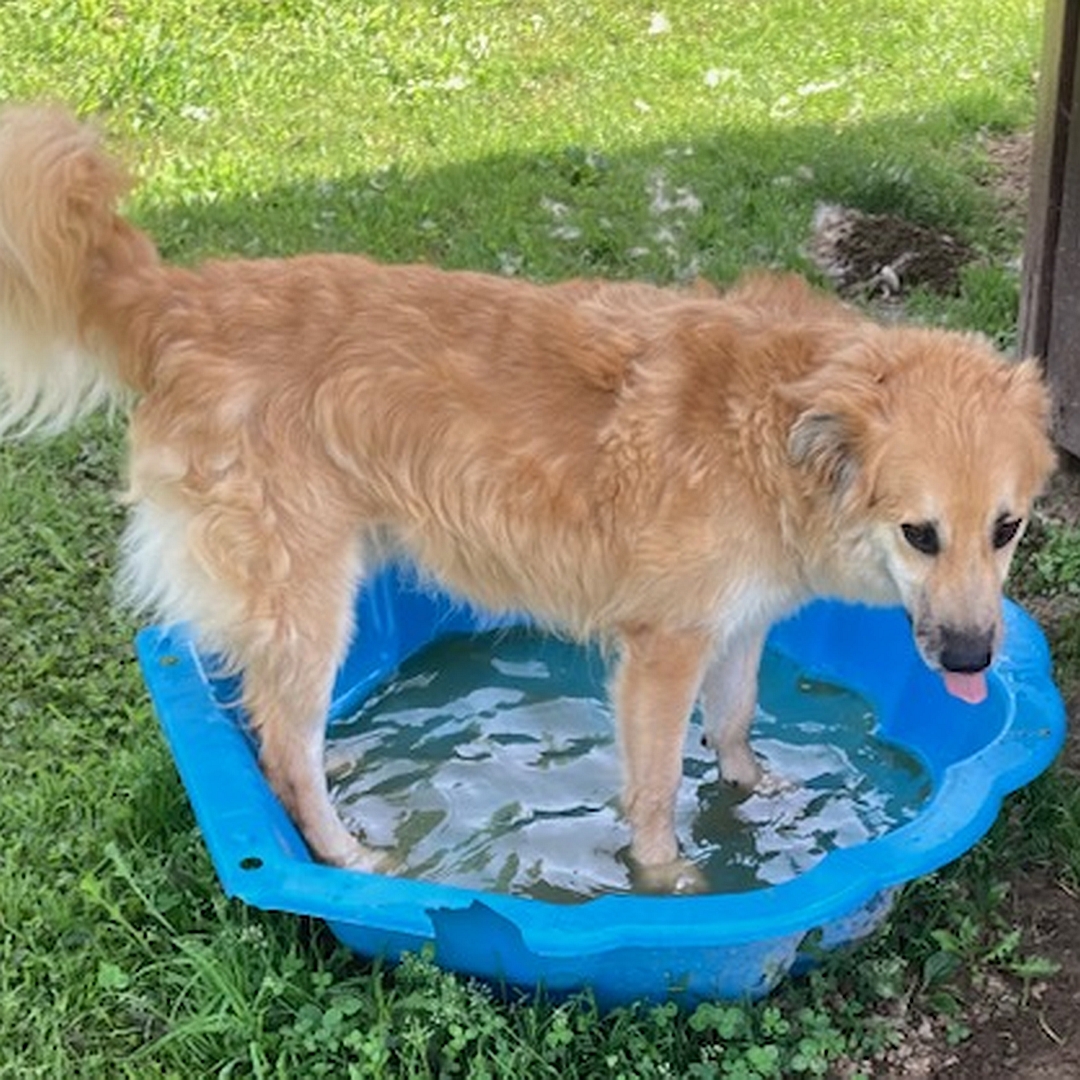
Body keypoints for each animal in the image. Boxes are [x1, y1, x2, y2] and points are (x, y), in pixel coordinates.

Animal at [0, 103, 1054, 894]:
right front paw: (668, 883)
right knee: (283, 752)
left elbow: (737, 724)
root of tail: (180, 304)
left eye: (1007, 529)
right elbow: (657, 788)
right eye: (919, 534)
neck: (774, 428)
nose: (973, 659)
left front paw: (760, 798)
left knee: (273, 724)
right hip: (309, 599)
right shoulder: (661, 650)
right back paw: (349, 856)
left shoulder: (741, 623)